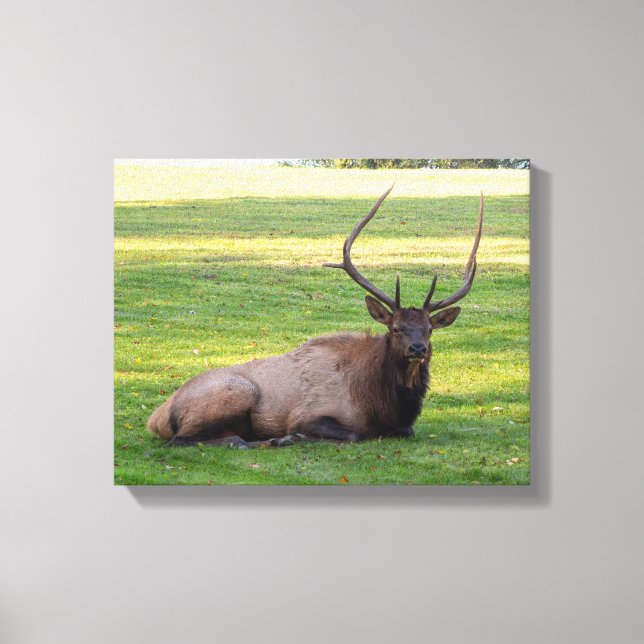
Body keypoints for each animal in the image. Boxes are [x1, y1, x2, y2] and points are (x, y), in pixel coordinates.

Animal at [147, 186, 483, 448]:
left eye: (429, 329)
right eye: (396, 328)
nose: (418, 349)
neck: (379, 403)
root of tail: (157, 417)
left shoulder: (402, 426)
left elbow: (407, 431)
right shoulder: (307, 414)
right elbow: (351, 435)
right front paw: (293, 436)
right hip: (238, 393)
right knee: (184, 440)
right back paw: (263, 440)